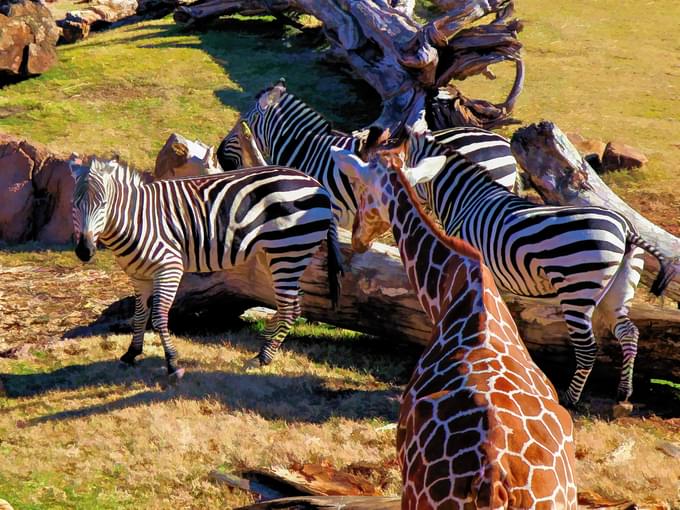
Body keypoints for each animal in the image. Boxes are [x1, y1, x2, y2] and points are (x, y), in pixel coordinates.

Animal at [71, 158, 342, 378]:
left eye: (104, 204)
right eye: (73, 204)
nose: (84, 251)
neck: (135, 219)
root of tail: (318, 184)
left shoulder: (169, 268)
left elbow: (158, 317)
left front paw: (172, 363)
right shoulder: (139, 275)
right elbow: (140, 316)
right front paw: (131, 354)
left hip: (289, 250)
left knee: (289, 307)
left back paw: (262, 358)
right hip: (277, 255)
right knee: (294, 305)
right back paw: (265, 349)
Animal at [346, 130, 676, 406]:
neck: (465, 200)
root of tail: (626, 229)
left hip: (577, 290)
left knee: (588, 349)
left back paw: (570, 399)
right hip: (617, 292)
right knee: (629, 333)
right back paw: (623, 394)